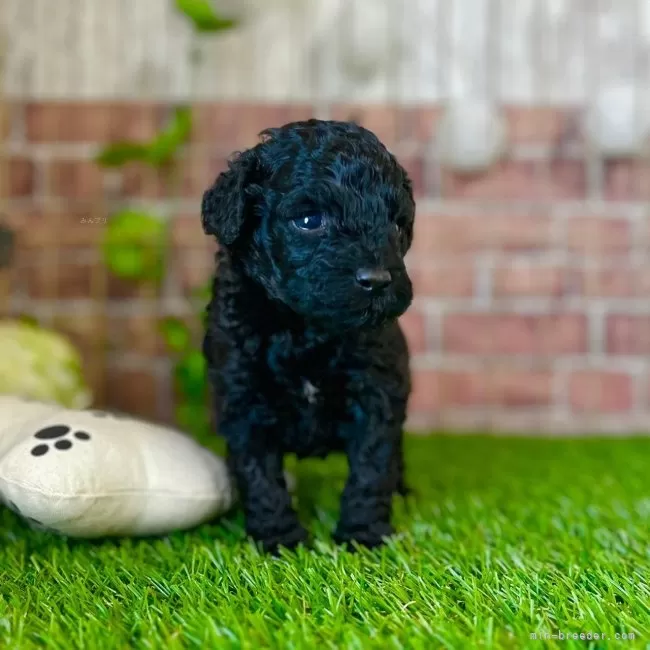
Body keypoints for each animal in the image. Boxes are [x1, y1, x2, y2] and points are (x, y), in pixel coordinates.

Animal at [202, 117, 412, 552]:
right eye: (309, 220)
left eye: (397, 225)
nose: (377, 280)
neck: (304, 330)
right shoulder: (242, 398)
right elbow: (260, 474)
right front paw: (279, 539)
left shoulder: (378, 391)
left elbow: (372, 467)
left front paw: (363, 535)